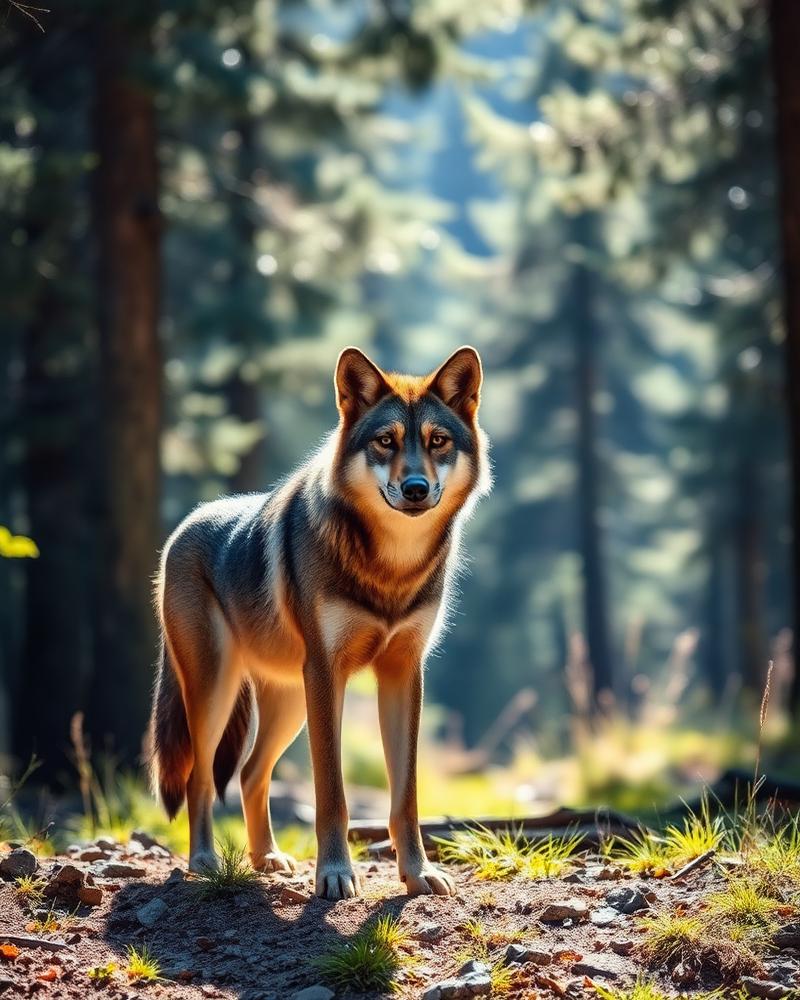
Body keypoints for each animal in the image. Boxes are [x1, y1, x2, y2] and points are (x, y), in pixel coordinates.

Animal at [147, 346, 491, 899]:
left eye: (437, 441)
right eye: (385, 441)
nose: (416, 488)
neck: (391, 568)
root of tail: (184, 525)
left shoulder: (404, 672)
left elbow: (406, 795)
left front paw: (418, 873)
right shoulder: (327, 673)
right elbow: (331, 792)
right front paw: (334, 874)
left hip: (289, 701)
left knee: (250, 774)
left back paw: (266, 857)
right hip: (217, 691)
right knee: (202, 776)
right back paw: (203, 860)